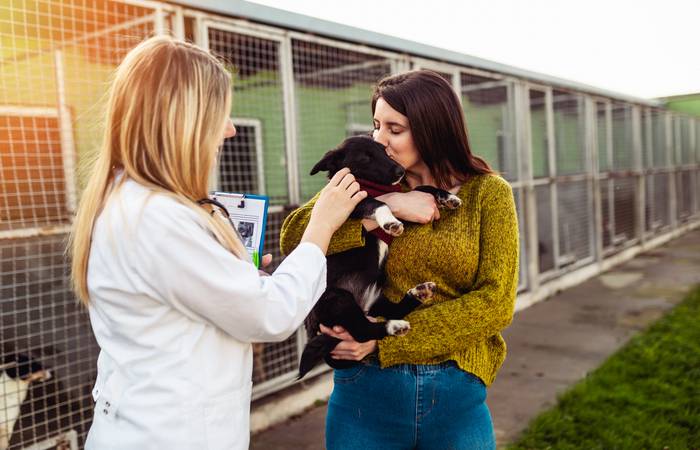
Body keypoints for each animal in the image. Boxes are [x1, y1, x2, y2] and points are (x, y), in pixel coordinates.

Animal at [298, 135, 462, 378]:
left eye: (385, 150)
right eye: (365, 158)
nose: (400, 171)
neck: (373, 186)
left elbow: (421, 189)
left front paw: (447, 197)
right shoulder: (351, 203)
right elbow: (380, 202)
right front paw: (390, 221)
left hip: (377, 296)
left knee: (392, 310)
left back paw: (419, 293)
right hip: (337, 299)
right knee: (362, 331)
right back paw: (393, 326)